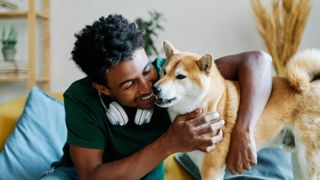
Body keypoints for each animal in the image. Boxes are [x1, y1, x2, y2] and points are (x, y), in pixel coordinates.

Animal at [153, 41, 320, 180]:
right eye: (164, 72)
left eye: (180, 76)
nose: (155, 88)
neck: (208, 104)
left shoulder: (211, 170)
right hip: (298, 162)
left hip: (309, 162)